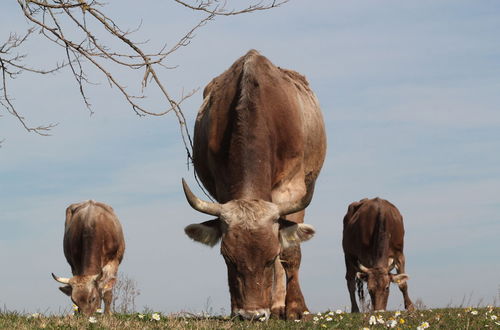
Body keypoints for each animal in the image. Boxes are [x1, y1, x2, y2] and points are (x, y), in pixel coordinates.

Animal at [182, 49, 326, 320]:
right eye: (227, 259)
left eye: (269, 259)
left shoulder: (292, 189)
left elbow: (289, 253)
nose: (252, 315)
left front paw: (295, 308)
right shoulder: (223, 187)